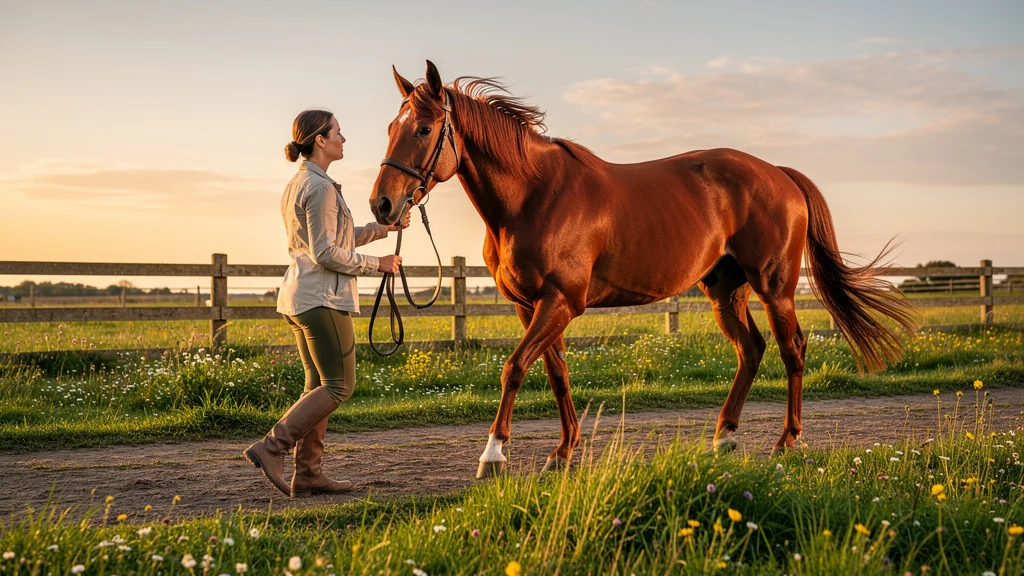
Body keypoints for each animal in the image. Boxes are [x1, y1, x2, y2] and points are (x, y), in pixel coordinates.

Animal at [370, 60, 916, 478]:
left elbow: (515, 368)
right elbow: (555, 373)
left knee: (792, 350)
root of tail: (779, 174)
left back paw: (787, 442)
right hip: (725, 291)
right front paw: (563, 452)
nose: (382, 205)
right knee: (751, 350)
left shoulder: (560, 303)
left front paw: (494, 454)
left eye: (423, 129)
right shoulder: (531, 307)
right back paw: (724, 438)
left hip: (775, 287)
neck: (534, 195)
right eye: (391, 128)